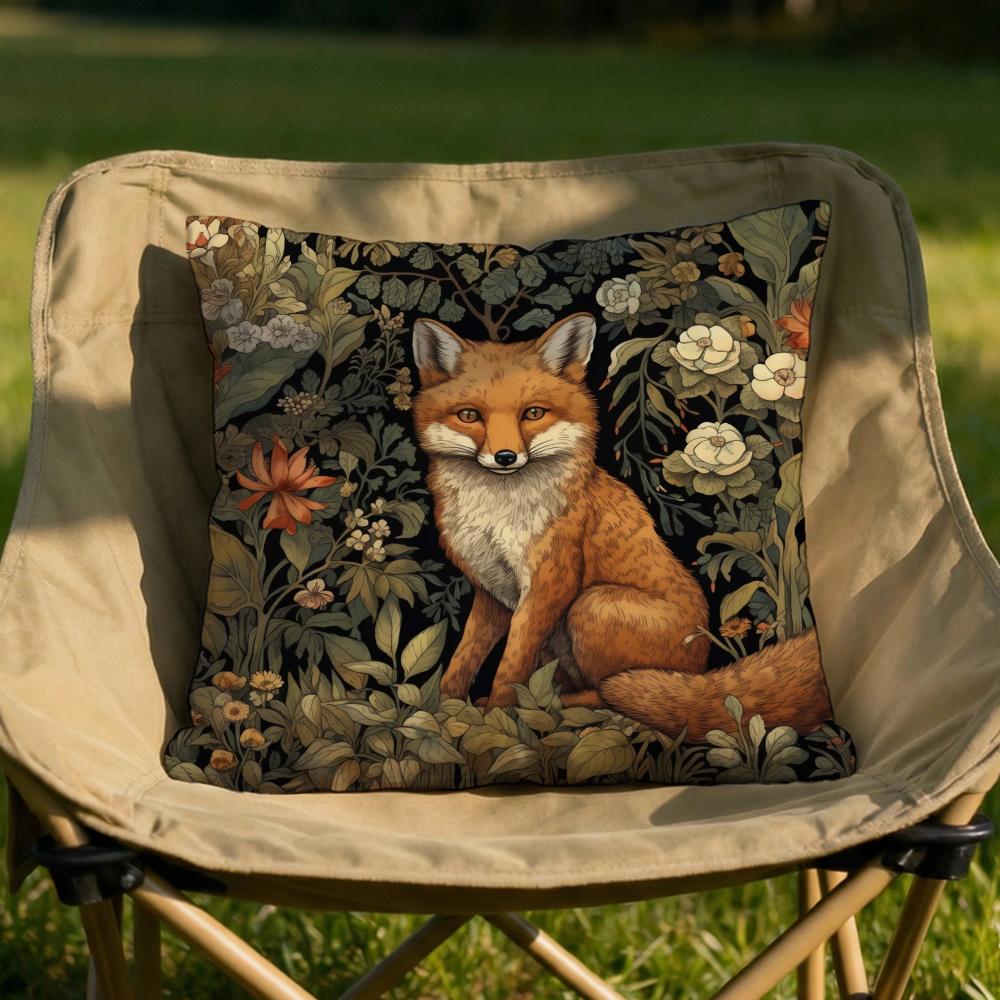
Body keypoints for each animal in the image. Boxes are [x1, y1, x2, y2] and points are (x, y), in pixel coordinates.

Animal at [410, 311, 833, 739]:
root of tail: (700, 666)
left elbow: (510, 664)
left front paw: (495, 716)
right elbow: (465, 656)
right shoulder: (492, 591)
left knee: (606, 692)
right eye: (469, 416)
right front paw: (440, 708)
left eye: (533, 413)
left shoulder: (550, 582)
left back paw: (556, 703)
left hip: (592, 604)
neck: (495, 514)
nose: (505, 457)